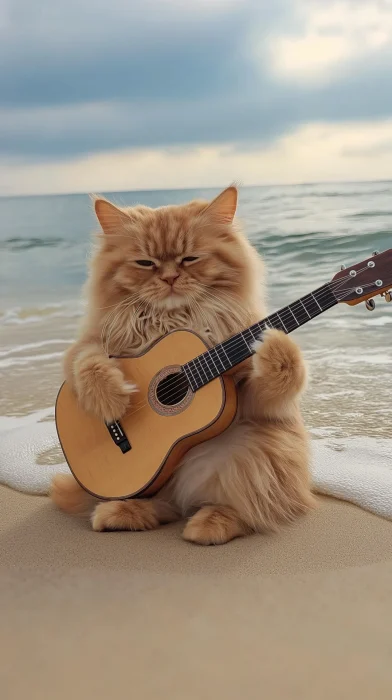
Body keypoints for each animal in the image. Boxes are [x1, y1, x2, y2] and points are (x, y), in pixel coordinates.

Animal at [51, 185, 316, 540]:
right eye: (145, 263)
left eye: (190, 258)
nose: (170, 278)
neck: (173, 320)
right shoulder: (88, 344)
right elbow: (89, 366)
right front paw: (111, 403)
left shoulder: (254, 398)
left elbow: (281, 374)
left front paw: (273, 344)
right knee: (165, 506)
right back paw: (122, 512)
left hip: (246, 452)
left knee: (246, 508)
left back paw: (210, 523)